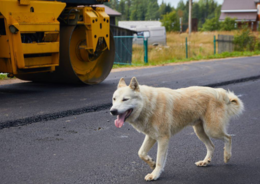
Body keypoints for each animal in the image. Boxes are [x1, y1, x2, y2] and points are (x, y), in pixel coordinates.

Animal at [109, 76, 244, 181]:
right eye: (114, 99)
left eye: (125, 99)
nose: (112, 111)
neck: (148, 104)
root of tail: (221, 93)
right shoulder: (151, 136)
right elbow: (141, 153)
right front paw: (151, 164)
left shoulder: (163, 138)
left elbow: (159, 160)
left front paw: (155, 175)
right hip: (200, 132)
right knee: (212, 146)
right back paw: (205, 162)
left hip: (212, 130)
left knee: (228, 137)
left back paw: (227, 157)